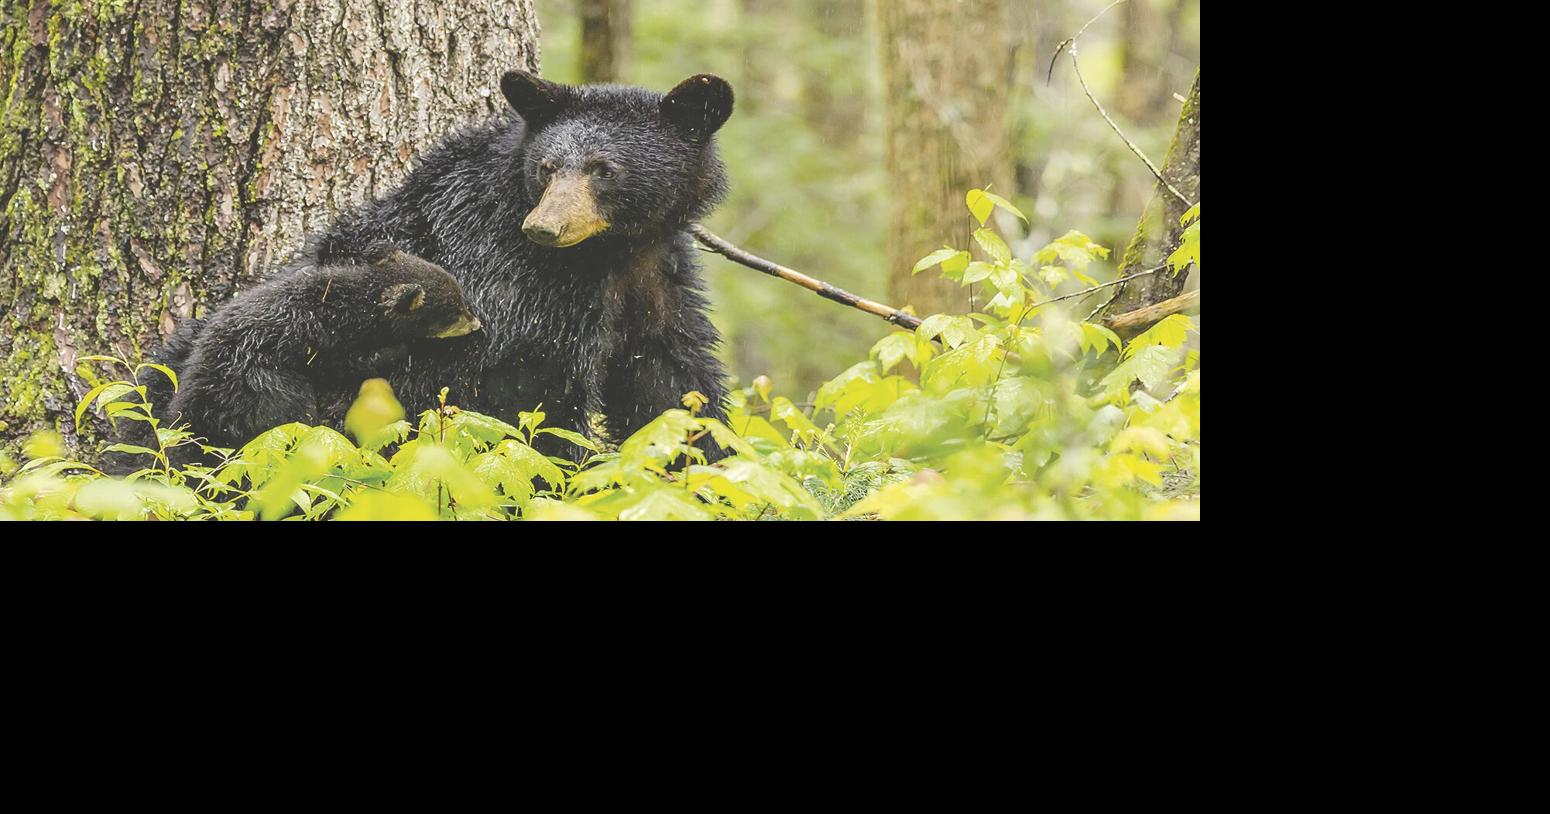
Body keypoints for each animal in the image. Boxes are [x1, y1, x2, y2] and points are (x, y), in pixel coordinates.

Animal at [112, 243, 479, 466]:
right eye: (454, 310)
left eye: (460, 298)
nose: (477, 323)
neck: (354, 300)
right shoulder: (325, 339)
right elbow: (354, 362)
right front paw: (398, 349)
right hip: (266, 388)